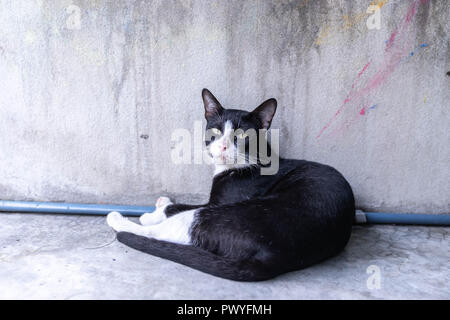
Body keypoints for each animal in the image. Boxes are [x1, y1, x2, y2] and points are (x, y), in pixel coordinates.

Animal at [106, 89, 356, 282]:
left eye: (243, 135)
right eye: (216, 131)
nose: (224, 146)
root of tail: (276, 256)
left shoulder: (217, 203)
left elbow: (178, 207)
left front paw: (155, 210)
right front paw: (161, 202)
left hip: (227, 214)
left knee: (163, 233)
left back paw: (118, 219)